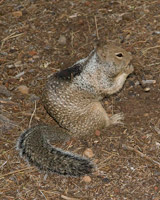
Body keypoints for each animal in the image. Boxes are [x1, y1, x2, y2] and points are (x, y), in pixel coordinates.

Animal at [16, 43, 134, 177]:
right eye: (119, 55)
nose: (131, 56)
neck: (95, 64)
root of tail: (71, 132)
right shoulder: (102, 81)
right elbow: (113, 86)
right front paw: (128, 70)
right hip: (96, 111)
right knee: (104, 124)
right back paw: (114, 119)